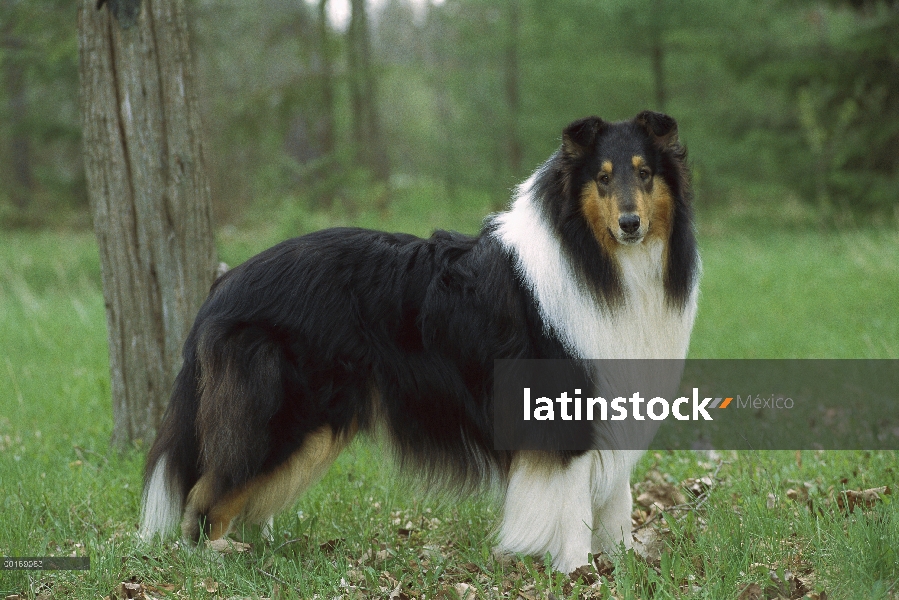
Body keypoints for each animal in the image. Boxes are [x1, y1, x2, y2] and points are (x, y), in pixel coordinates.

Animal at [142, 109, 704, 572]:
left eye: (645, 173)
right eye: (603, 179)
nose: (630, 224)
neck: (598, 260)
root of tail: (224, 284)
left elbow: (617, 503)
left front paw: (622, 564)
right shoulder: (561, 414)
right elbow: (571, 507)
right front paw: (577, 571)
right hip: (282, 418)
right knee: (205, 495)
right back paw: (217, 558)